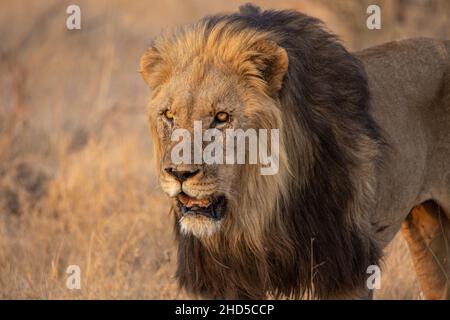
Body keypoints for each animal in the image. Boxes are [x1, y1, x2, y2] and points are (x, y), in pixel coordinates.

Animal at [140, 4, 450, 300]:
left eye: (222, 117)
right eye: (169, 115)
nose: (179, 174)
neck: (256, 212)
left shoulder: (346, 269)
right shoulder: (224, 279)